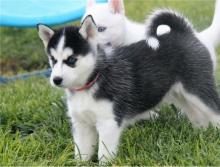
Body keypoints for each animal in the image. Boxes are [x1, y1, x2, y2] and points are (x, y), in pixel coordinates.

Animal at [37, 9, 220, 162]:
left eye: (71, 60)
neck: (93, 79)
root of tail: (185, 33)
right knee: (198, 116)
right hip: (182, 96)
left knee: (214, 111)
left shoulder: (109, 122)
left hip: (198, 89)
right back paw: (201, 133)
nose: (56, 80)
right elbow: (81, 154)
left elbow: (104, 153)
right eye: (53, 60)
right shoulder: (81, 124)